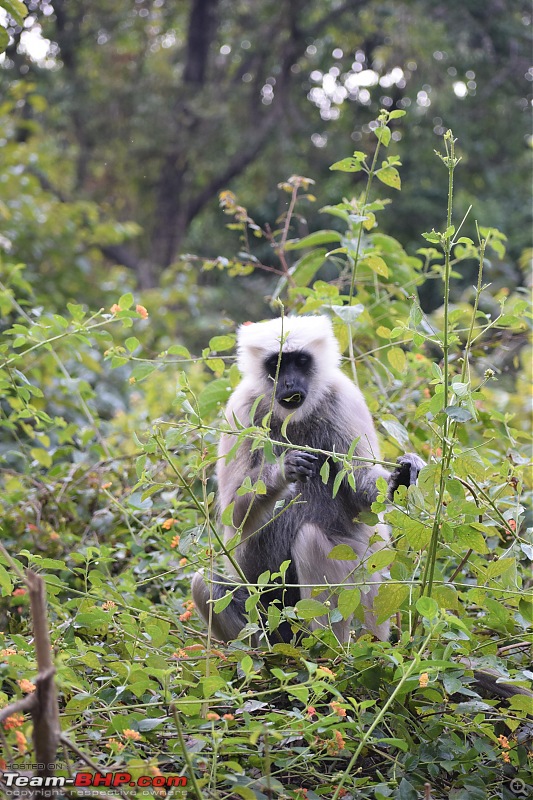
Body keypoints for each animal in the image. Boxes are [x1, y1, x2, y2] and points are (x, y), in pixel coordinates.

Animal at [192, 316, 424, 648]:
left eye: (300, 361)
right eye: (277, 364)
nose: (289, 383)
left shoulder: (344, 399)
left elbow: (362, 496)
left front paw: (400, 479)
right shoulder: (240, 409)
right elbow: (233, 515)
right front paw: (284, 470)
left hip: (368, 609)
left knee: (310, 540)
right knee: (204, 581)